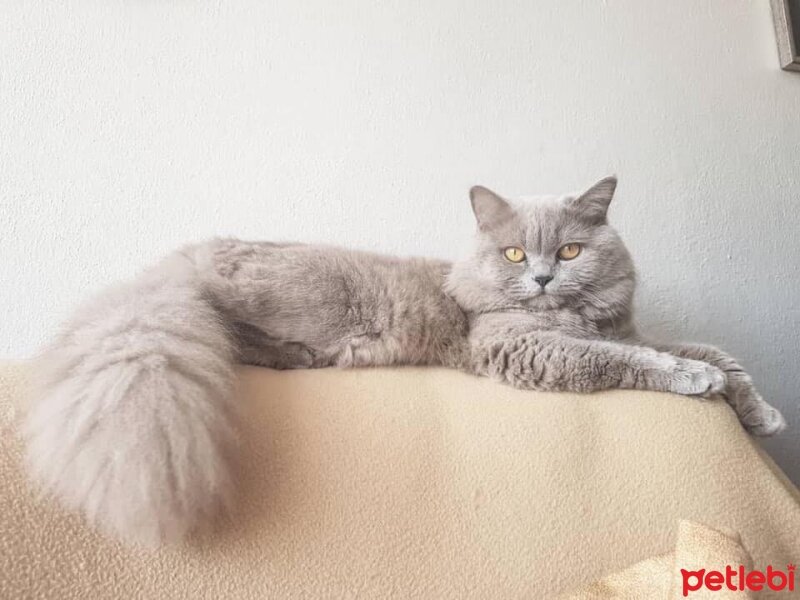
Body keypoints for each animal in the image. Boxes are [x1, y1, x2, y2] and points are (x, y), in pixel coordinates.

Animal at [23, 176, 780, 548]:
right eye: (514, 253)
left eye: (569, 251)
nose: (540, 278)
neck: (578, 314)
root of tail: (181, 258)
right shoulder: (519, 346)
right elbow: (629, 359)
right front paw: (696, 381)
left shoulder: (630, 328)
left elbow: (710, 351)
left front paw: (760, 411)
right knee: (236, 336)